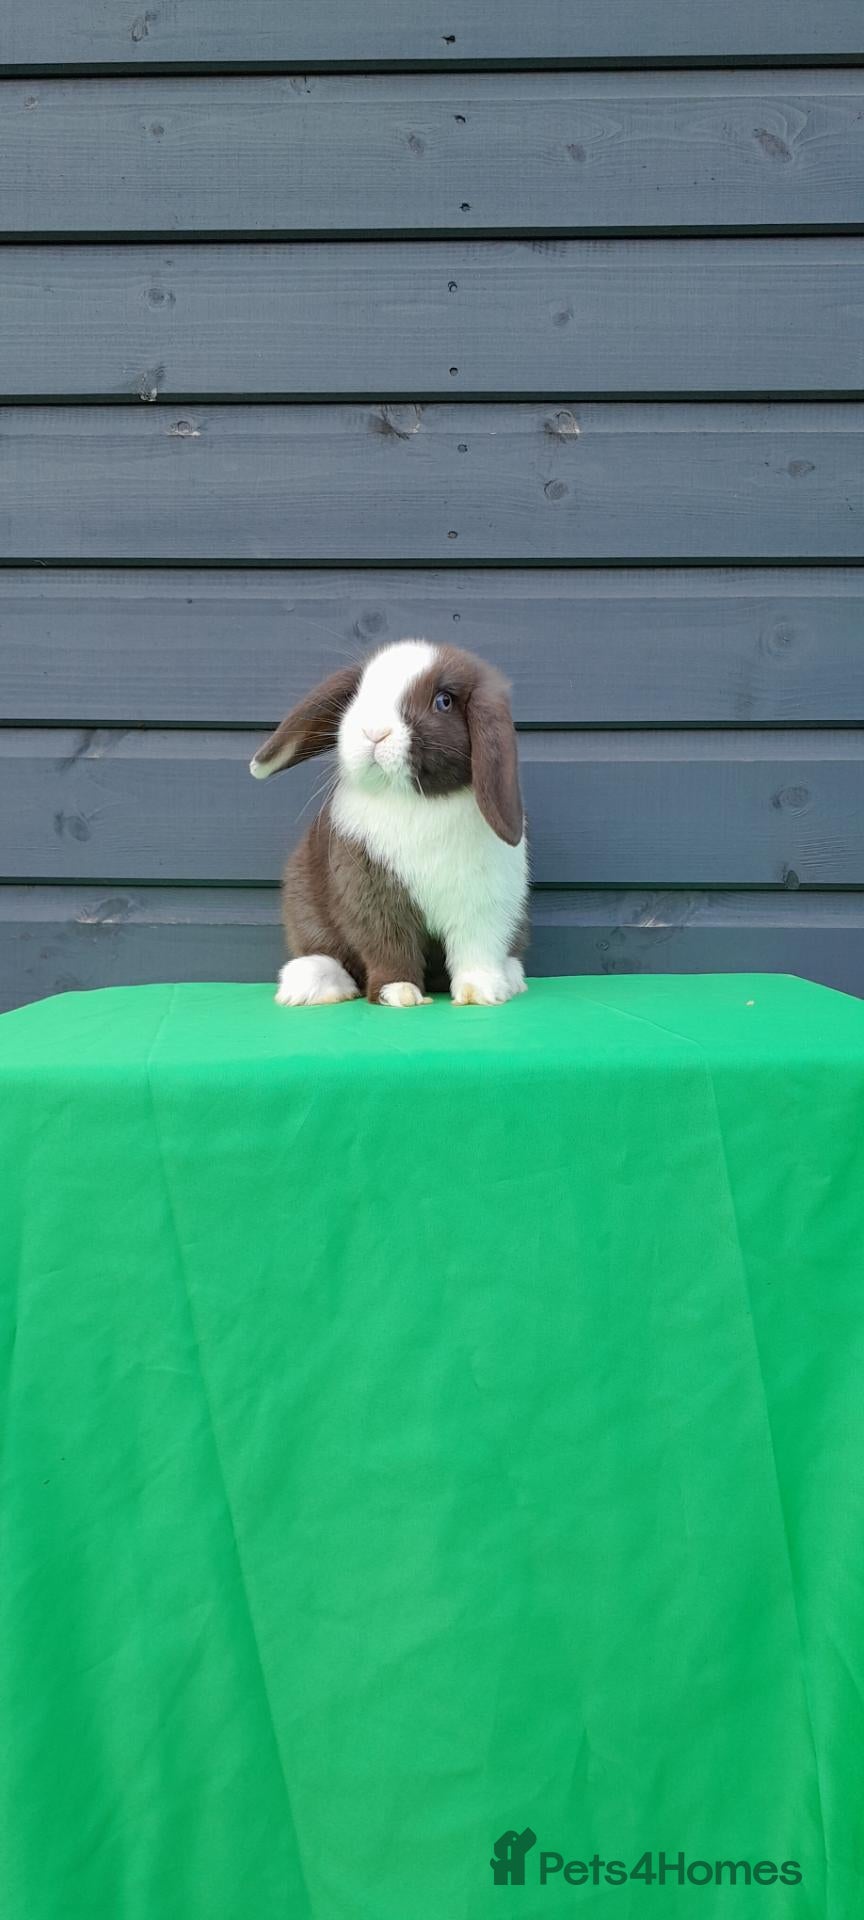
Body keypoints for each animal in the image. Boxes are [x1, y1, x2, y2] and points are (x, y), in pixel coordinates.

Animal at [250, 639, 529, 1008]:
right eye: (358, 693)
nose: (374, 732)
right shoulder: (374, 898)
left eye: (444, 701)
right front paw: (398, 993)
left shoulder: (485, 902)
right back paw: (309, 985)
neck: (416, 801)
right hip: (303, 906)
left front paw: (480, 992)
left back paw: (511, 978)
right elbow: (389, 946)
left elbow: (476, 948)